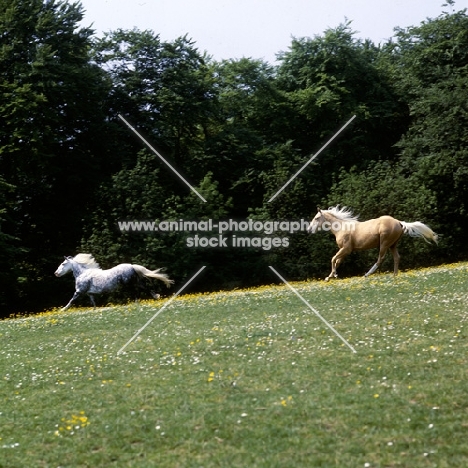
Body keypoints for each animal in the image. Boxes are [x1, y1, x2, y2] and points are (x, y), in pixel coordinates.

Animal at [308, 206, 436, 282]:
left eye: (317, 218)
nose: (309, 230)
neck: (341, 228)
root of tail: (399, 222)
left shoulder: (346, 249)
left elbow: (333, 259)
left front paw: (333, 275)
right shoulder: (345, 251)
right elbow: (337, 261)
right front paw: (329, 277)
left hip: (384, 244)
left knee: (380, 259)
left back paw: (366, 274)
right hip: (392, 245)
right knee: (397, 257)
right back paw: (394, 276)